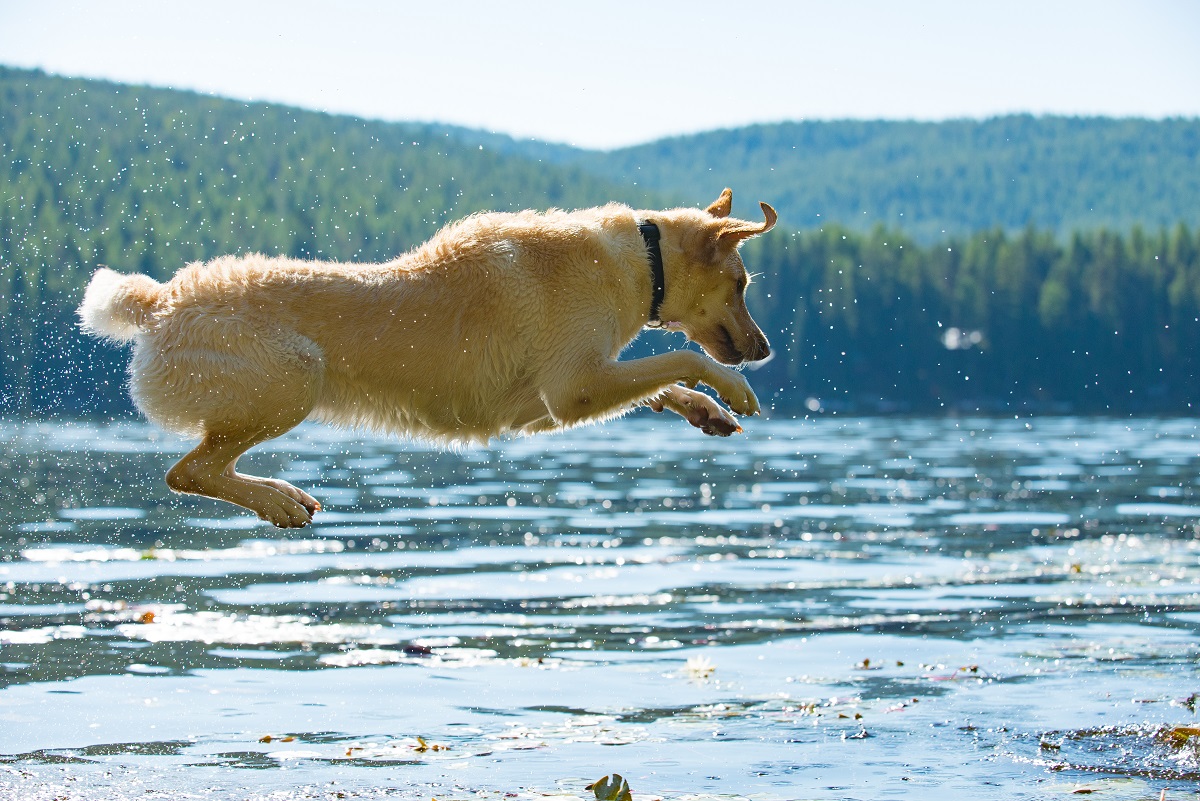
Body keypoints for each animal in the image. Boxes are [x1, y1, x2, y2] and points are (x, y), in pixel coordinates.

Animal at [82, 187, 777, 525]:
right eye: (743, 283)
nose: (765, 350)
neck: (642, 258)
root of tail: (157, 302)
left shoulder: (547, 401)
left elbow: (658, 382)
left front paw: (706, 412)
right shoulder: (572, 389)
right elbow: (680, 361)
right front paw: (733, 390)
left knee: (197, 469)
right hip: (293, 377)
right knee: (187, 472)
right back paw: (278, 499)